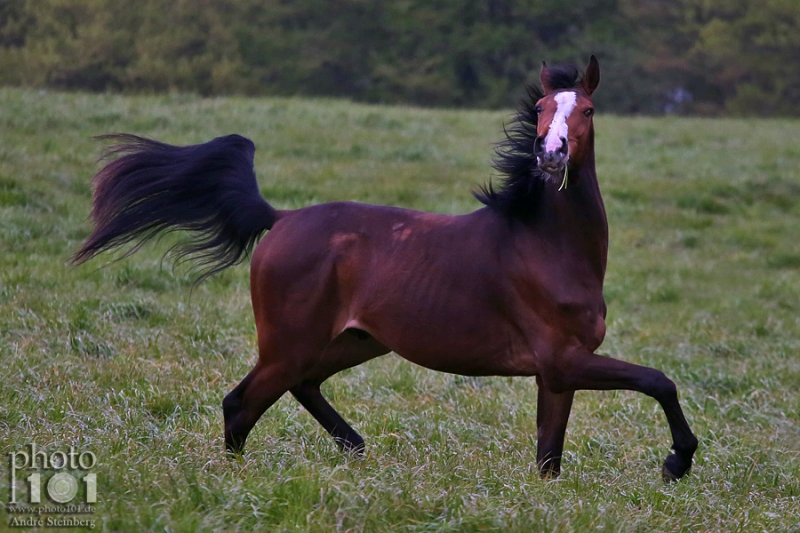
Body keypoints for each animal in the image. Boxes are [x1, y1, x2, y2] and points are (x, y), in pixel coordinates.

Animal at [76, 56, 700, 480]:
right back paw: (240, 478)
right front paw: (677, 461)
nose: (550, 156)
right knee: (242, 402)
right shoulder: (563, 360)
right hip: (290, 342)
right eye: (543, 110)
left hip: (354, 340)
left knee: (300, 385)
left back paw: (354, 446)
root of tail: (281, 218)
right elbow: (659, 381)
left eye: (587, 110)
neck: (547, 246)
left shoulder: (555, 376)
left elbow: (549, 457)